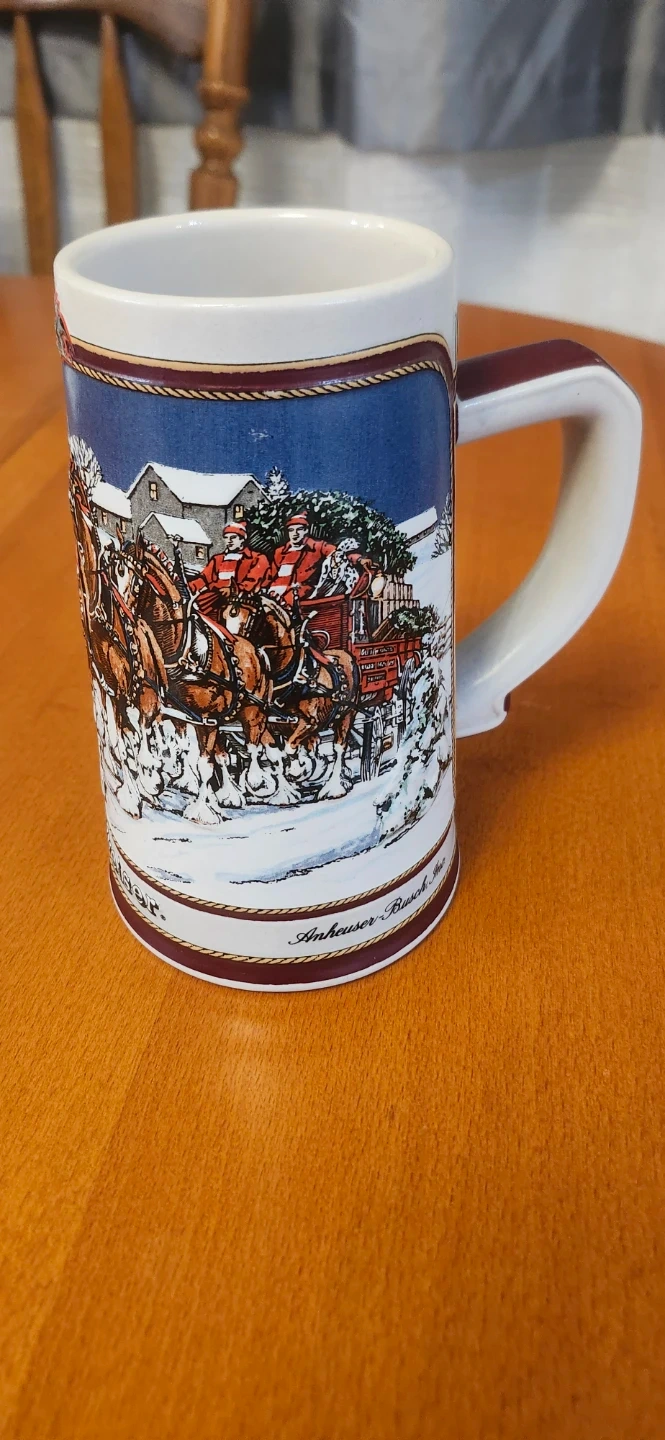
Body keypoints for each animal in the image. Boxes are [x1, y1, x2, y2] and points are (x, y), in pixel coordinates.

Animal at [217, 586, 359, 800]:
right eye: (224, 615)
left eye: (251, 617)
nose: (231, 652)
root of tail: (346, 655)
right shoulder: (269, 724)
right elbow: (276, 754)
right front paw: (282, 790)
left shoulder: (309, 722)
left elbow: (291, 749)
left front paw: (297, 772)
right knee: (314, 744)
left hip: (347, 715)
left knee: (339, 749)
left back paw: (333, 787)